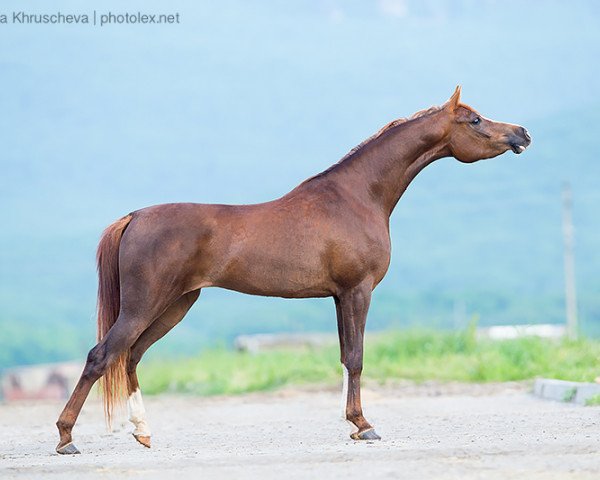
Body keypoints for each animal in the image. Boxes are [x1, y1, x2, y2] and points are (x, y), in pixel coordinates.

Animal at [55, 87, 528, 454]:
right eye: (474, 119)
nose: (522, 133)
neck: (357, 197)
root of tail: (133, 217)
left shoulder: (338, 296)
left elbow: (345, 356)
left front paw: (352, 424)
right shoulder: (358, 291)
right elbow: (357, 358)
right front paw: (364, 426)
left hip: (176, 305)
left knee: (132, 355)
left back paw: (143, 433)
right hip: (146, 303)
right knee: (102, 356)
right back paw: (66, 438)